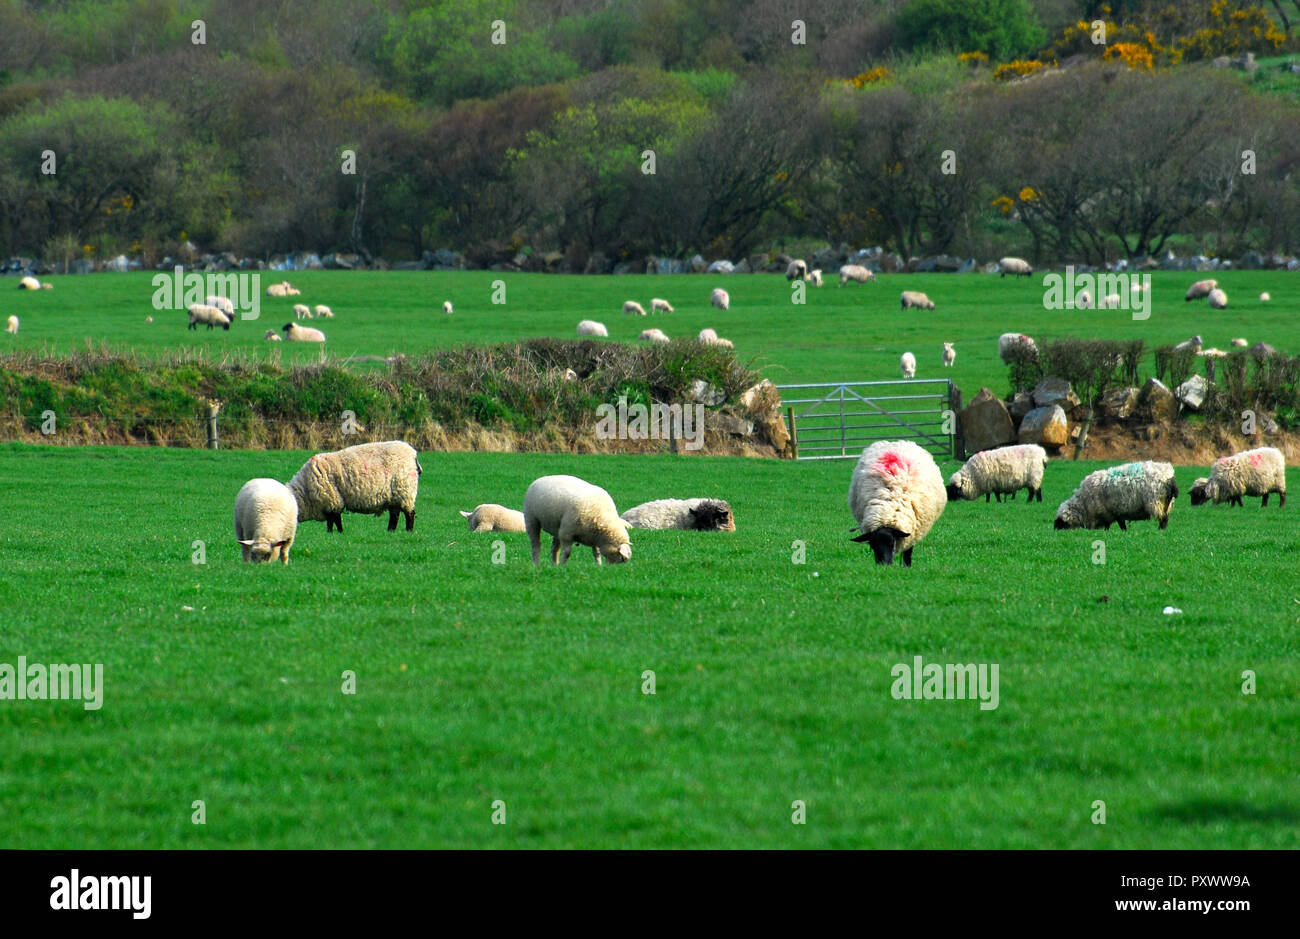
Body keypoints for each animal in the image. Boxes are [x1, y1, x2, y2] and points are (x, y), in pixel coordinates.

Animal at [288, 436, 421, 530]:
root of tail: (412, 453)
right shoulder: (331, 503)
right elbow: (333, 522)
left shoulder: (332, 501)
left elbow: (335, 521)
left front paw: (337, 534)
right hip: (394, 495)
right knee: (395, 515)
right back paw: (390, 531)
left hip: (405, 490)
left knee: (410, 514)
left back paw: (408, 531)